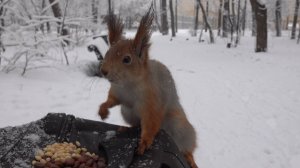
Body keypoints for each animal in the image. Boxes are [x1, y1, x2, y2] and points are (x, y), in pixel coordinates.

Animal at [97, 5, 198, 168]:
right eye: (107, 53)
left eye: (127, 59)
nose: (103, 71)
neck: (128, 85)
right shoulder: (117, 92)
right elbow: (111, 100)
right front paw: (103, 109)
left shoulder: (152, 103)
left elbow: (151, 124)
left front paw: (144, 142)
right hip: (127, 112)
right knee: (136, 124)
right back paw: (127, 128)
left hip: (179, 126)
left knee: (186, 147)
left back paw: (189, 157)